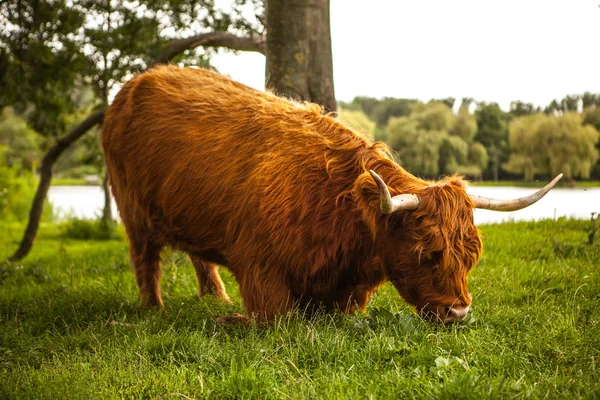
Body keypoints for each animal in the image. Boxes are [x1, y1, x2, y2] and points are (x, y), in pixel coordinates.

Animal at [99, 65, 564, 322]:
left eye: (471, 256)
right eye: (427, 252)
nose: (459, 312)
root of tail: (134, 83)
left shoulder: (342, 290)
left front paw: (223, 311)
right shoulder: (261, 268)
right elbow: (275, 319)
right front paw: (228, 320)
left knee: (200, 257)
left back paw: (214, 297)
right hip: (133, 210)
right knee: (145, 260)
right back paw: (155, 309)